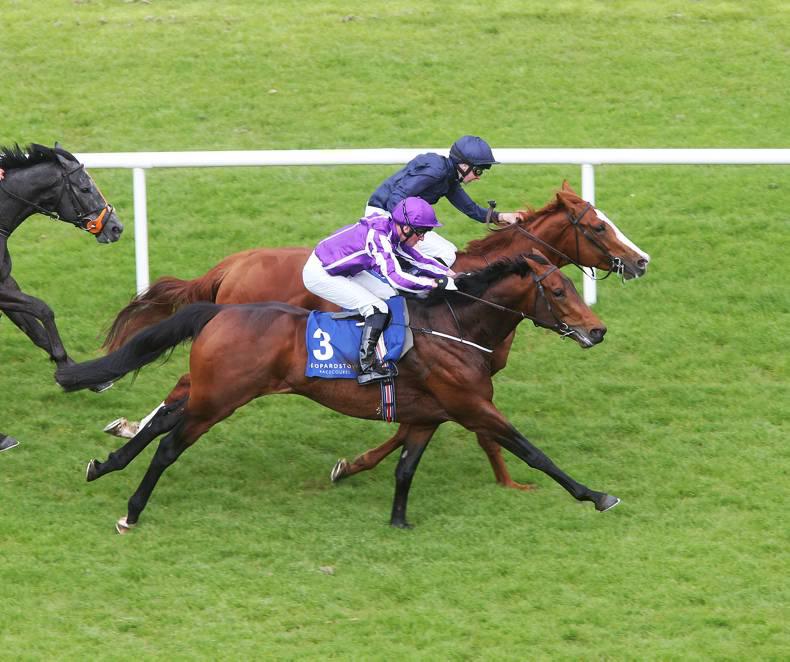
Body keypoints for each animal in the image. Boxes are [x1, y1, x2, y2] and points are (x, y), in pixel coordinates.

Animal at [0, 143, 124, 450]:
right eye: (85, 188)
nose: (116, 227)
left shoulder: (5, 282)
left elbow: (34, 329)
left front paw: (81, 377)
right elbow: (43, 309)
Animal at [56, 252, 619, 533]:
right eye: (560, 290)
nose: (598, 331)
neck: (454, 328)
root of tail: (219, 309)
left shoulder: (428, 415)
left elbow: (404, 468)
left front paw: (398, 521)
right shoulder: (473, 405)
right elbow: (530, 451)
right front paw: (596, 495)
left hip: (214, 395)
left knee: (165, 419)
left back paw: (105, 463)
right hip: (219, 400)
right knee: (170, 443)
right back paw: (132, 510)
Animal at [100, 183, 649, 490]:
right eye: (598, 227)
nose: (641, 261)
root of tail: (232, 265)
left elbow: (415, 427)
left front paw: (353, 466)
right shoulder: (452, 379)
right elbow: (473, 429)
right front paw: (510, 480)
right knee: (183, 391)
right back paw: (129, 430)